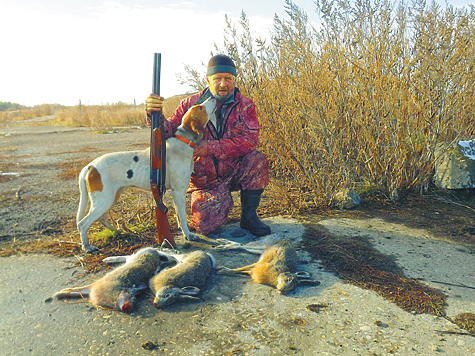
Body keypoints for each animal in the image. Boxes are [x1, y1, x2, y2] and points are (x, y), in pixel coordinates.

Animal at [76, 98, 218, 253]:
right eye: (200, 108)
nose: (212, 97)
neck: (184, 141)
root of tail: (90, 166)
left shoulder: (176, 195)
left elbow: (179, 217)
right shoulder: (178, 193)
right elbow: (183, 217)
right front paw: (188, 235)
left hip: (111, 197)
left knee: (102, 218)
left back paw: (118, 232)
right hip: (103, 200)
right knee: (83, 224)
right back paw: (87, 247)